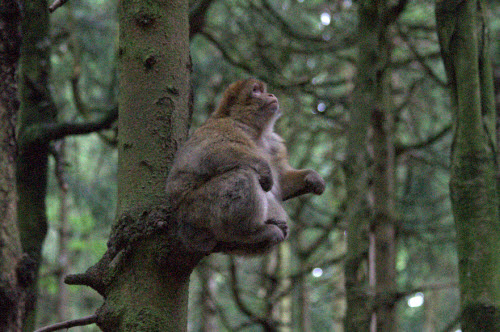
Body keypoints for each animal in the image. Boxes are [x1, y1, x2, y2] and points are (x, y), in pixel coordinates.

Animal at [166, 78, 326, 254]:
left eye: (264, 90)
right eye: (256, 91)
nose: (270, 95)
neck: (256, 130)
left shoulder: (274, 144)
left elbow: (283, 183)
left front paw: (312, 177)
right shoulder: (222, 126)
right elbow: (209, 152)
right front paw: (264, 168)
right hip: (197, 212)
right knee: (244, 175)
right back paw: (250, 232)